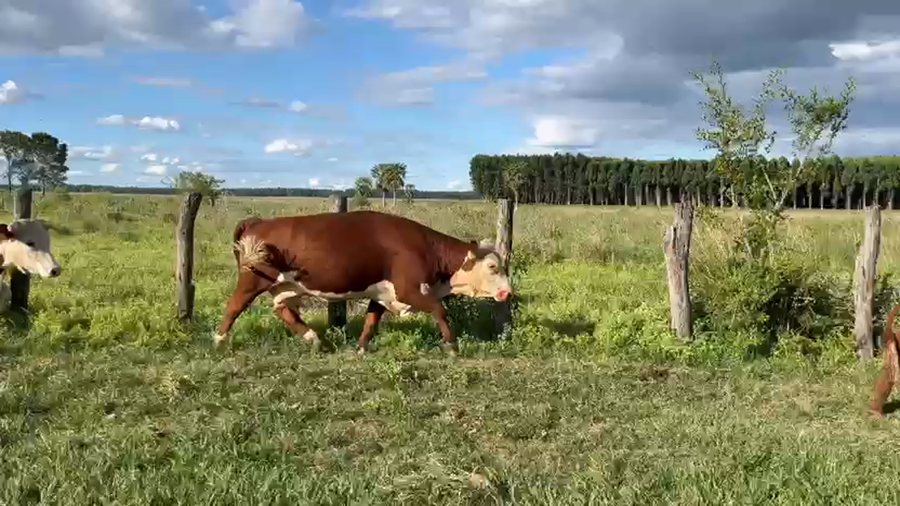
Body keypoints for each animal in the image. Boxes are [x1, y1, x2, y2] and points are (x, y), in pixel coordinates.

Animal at [213, 210, 513, 355]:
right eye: (493, 267)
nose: (507, 291)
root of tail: (258, 221)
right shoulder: (408, 290)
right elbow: (440, 310)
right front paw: (451, 347)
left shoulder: (382, 293)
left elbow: (371, 320)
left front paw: (361, 347)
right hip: (252, 279)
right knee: (234, 307)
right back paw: (219, 341)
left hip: (287, 286)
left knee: (283, 310)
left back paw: (315, 340)